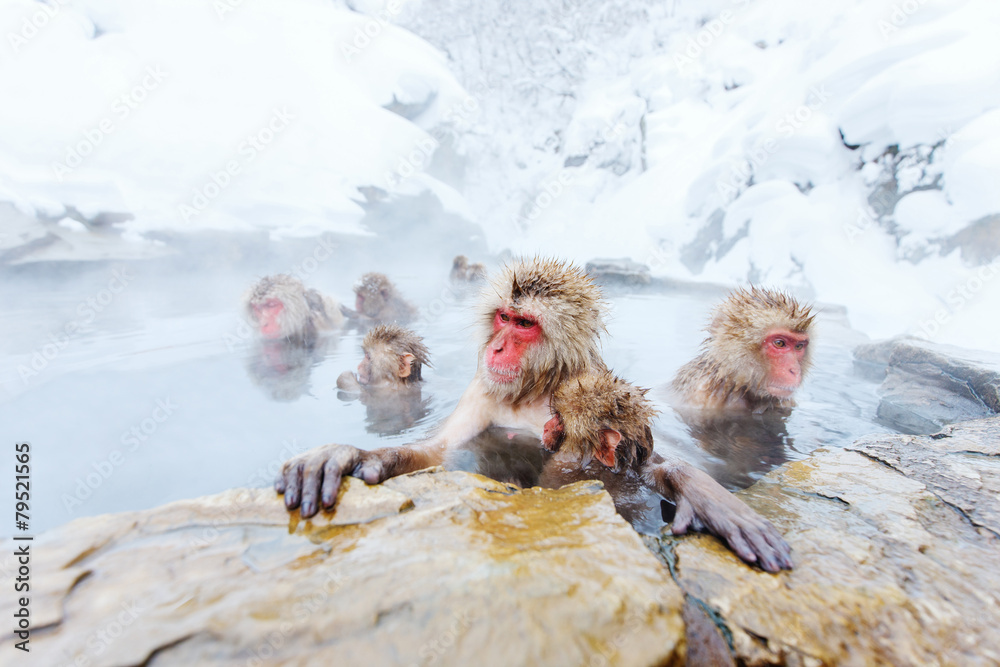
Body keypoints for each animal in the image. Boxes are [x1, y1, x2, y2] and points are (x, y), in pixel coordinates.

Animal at [276, 258, 793, 572]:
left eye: (525, 324)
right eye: (504, 317)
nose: (498, 347)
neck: (536, 389)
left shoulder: (592, 384)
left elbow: (644, 459)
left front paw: (706, 495)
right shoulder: (481, 389)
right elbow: (440, 449)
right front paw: (349, 456)